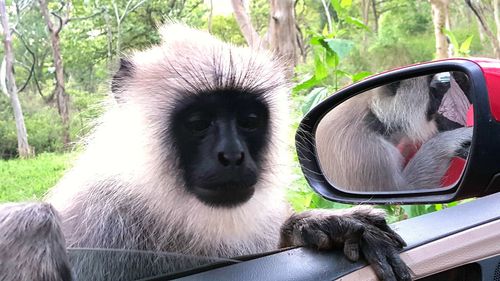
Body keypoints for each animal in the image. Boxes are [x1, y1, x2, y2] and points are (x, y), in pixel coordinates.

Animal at [316, 74, 472, 191]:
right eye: (430, 84)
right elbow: (406, 188)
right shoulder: (370, 153)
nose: (444, 85)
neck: (373, 114)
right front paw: (451, 140)